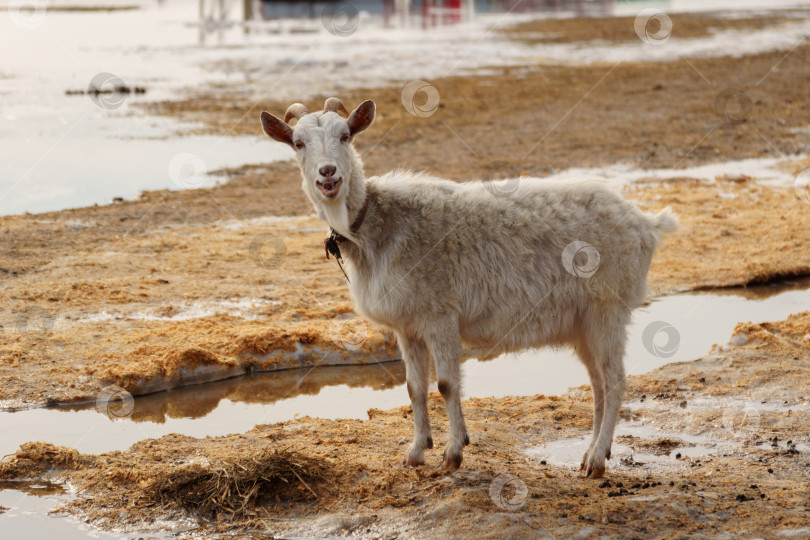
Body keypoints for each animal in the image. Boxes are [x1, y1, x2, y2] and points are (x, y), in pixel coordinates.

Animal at [260, 98, 676, 476]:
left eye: (345, 135)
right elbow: (413, 387)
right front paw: (416, 452)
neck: (375, 226)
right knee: (598, 384)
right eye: (298, 143)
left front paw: (453, 453)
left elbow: (445, 384)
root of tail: (645, 224)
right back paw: (591, 454)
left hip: (608, 308)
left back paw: (597, 460)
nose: (328, 175)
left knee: (615, 380)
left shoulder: (440, 316)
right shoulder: (407, 327)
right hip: (583, 323)